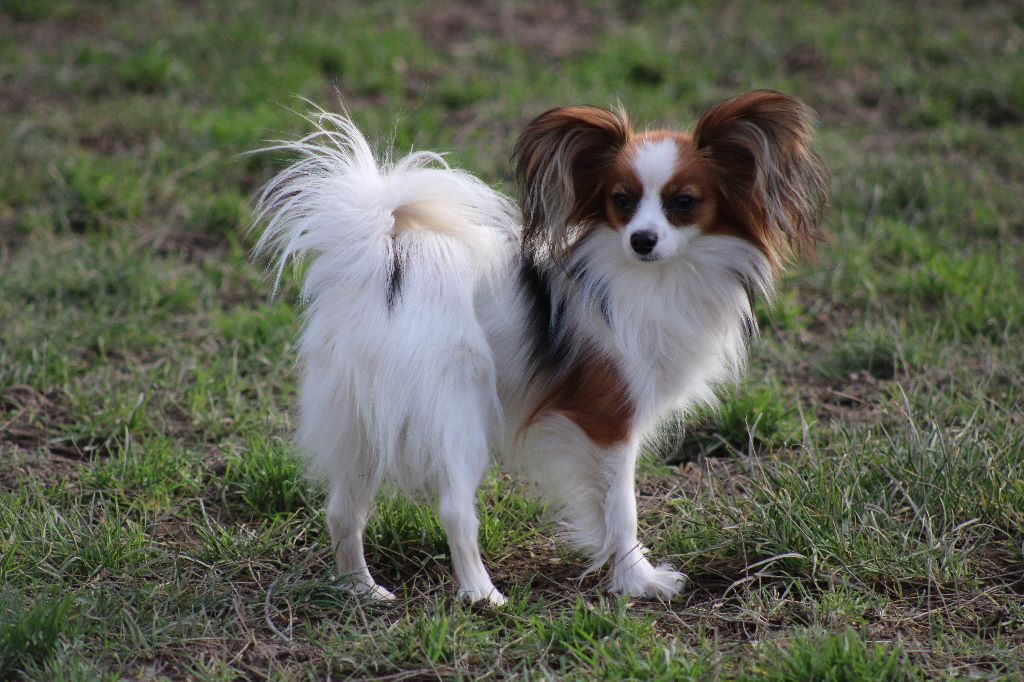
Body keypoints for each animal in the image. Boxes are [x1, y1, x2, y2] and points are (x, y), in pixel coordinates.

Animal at [251, 89, 827, 602]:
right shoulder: (609, 419)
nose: (642, 240)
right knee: (454, 509)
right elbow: (621, 508)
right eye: (621, 201)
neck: (653, 278)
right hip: (458, 411)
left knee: (343, 510)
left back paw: (361, 590)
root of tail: (383, 266)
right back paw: (483, 595)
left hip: (364, 421)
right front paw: (637, 582)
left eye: (684, 204)